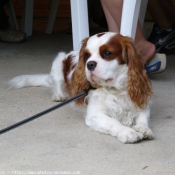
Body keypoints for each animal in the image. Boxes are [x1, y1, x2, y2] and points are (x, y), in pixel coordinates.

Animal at [7, 32, 153, 143]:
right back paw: (59, 95)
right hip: (58, 63)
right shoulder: (95, 115)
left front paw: (143, 129)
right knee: (56, 83)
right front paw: (127, 132)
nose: (90, 64)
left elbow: (143, 118)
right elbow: (113, 122)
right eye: (87, 55)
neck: (115, 90)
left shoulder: (141, 104)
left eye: (107, 53)